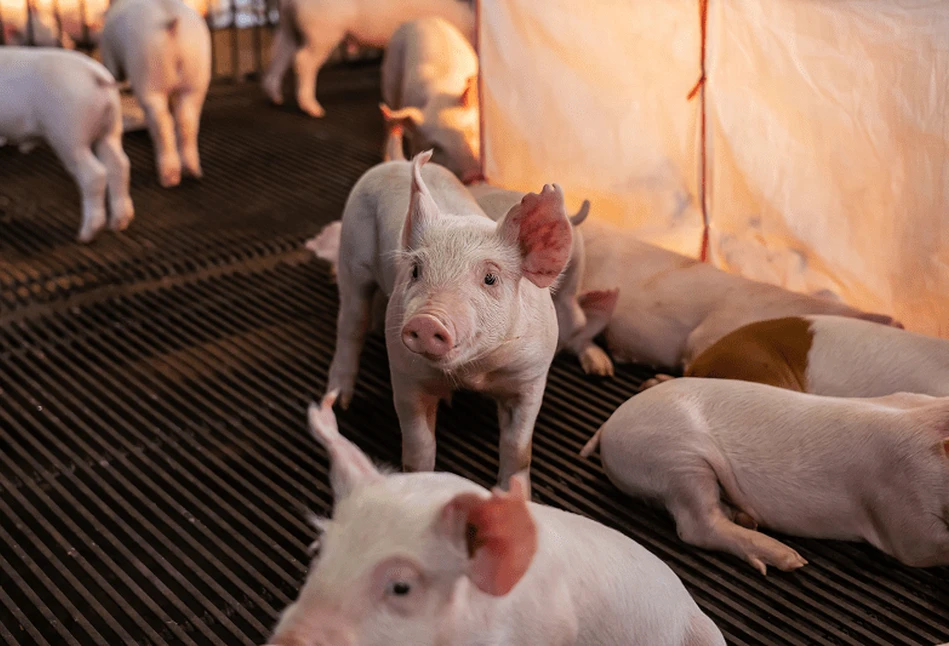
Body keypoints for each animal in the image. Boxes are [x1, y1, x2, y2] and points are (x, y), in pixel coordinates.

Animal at [322, 153, 572, 492]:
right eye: (416, 270)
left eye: (490, 278)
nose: (428, 320)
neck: (474, 372)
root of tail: (396, 160)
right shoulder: (406, 374)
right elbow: (418, 446)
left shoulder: (531, 377)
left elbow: (518, 448)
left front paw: (514, 494)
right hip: (351, 255)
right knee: (351, 323)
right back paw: (339, 401)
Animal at [580, 380, 948, 576]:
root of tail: (610, 424)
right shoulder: (900, 507)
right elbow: (916, 549)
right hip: (677, 458)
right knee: (696, 525)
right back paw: (788, 558)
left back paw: (747, 519)